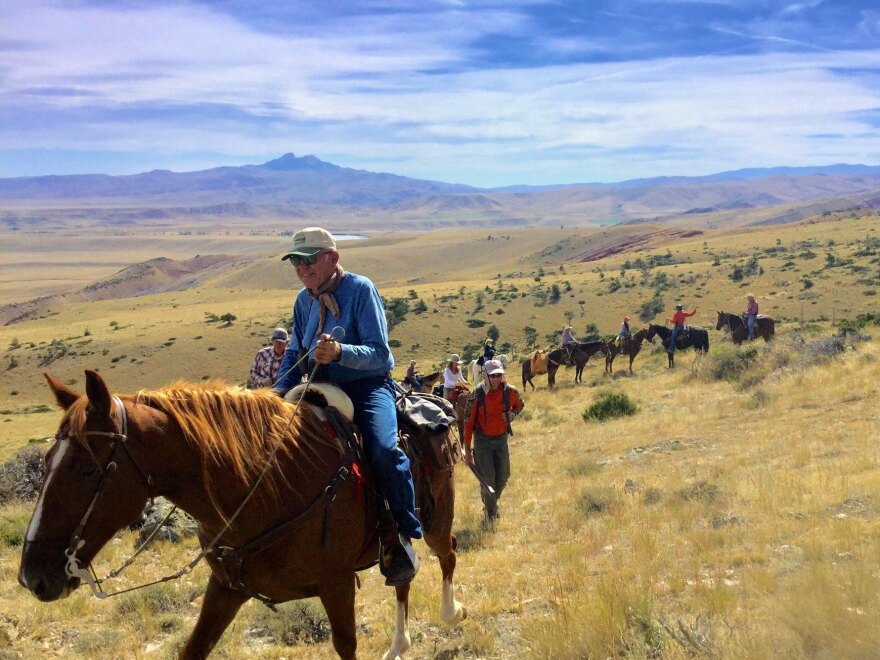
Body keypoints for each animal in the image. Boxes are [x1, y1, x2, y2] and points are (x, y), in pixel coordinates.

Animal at [17, 372, 464, 660]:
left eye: (87, 469)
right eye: (45, 462)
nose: (33, 577)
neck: (267, 488)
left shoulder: (337, 586)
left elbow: (346, 646)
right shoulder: (226, 587)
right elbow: (193, 648)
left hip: (435, 520)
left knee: (448, 553)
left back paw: (451, 613)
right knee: (403, 576)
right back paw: (398, 645)